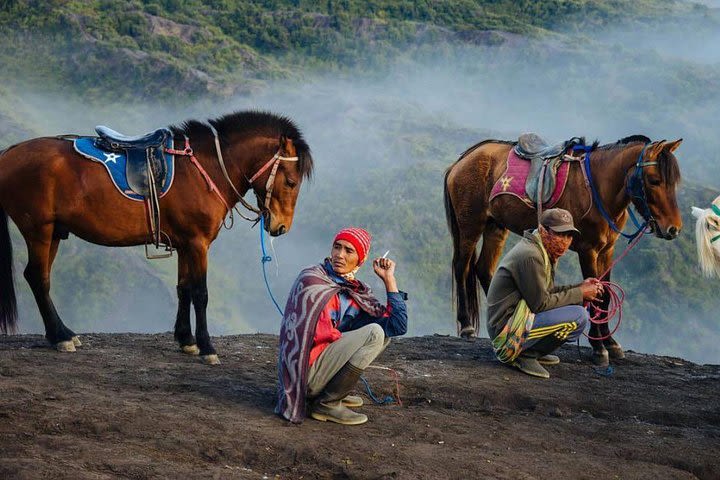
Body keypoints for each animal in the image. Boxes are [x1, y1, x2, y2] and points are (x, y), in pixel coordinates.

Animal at [0, 109, 316, 364]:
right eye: (291, 181)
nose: (280, 227)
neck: (206, 167)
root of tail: (9, 153)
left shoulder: (186, 244)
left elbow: (183, 289)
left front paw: (186, 339)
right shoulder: (198, 244)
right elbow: (200, 294)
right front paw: (206, 346)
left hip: (54, 231)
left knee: (39, 278)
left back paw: (61, 333)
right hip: (38, 230)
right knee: (38, 278)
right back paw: (60, 336)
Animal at [442, 133, 684, 366]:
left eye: (674, 183)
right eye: (654, 181)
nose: (673, 229)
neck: (598, 187)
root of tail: (462, 160)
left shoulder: (607, 251)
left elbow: (605, 295)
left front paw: (611, 343)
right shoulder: (588, 251)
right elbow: (595, 296)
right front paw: (599, 349)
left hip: (496, 226)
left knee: (484, 269)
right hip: (471, 225)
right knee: (462, 267)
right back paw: (466, 326)